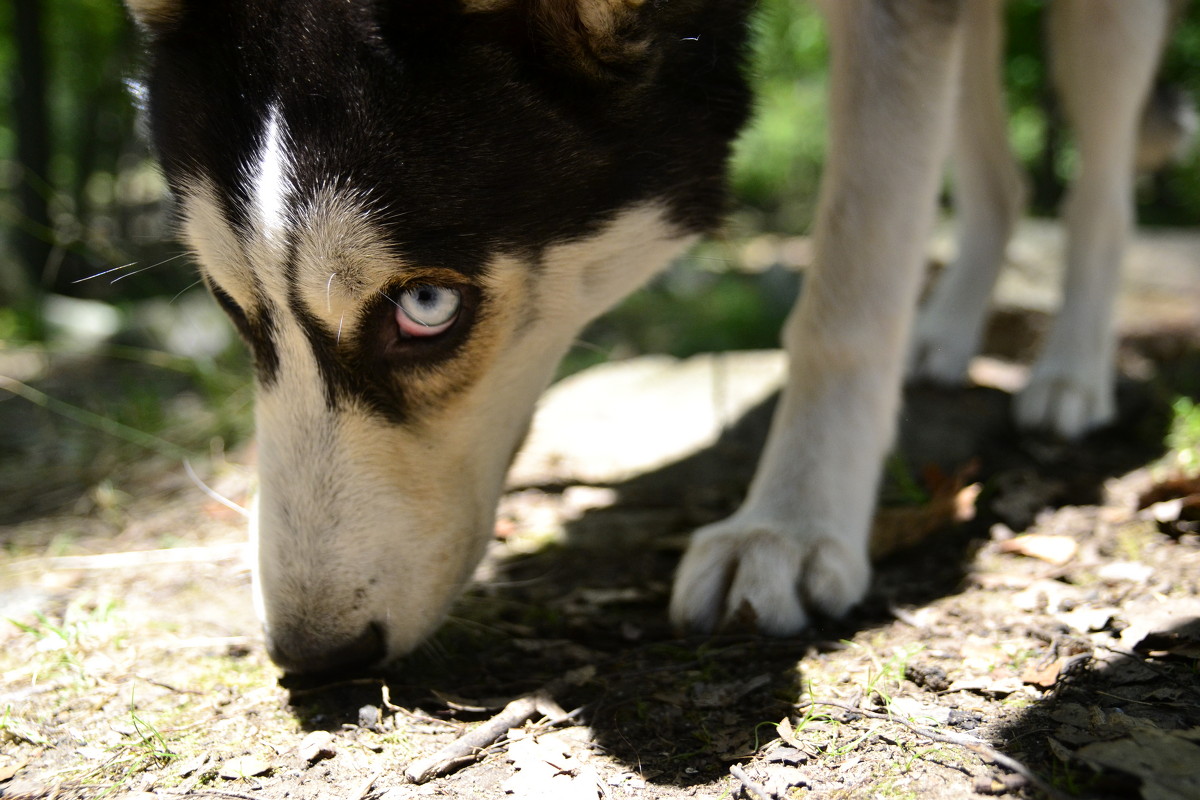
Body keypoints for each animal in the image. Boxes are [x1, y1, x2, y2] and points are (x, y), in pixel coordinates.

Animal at [126, 0, 1176, 676]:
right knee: (1000, 179)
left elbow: (850, 287)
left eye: (426, 306)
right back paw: (947, 334)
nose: (311, 655)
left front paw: (787, 526)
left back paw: (1071, 372)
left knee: (1103, 186)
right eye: (226, 303)